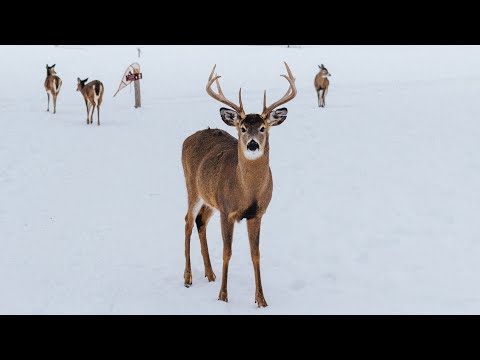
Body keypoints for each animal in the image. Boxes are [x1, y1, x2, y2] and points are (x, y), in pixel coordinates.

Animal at [181, 61, 296, 306]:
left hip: (209, 198)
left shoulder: (257, 213)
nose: (252, 144)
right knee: (187, 221)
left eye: (263, 128)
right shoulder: (227, 211)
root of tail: (189, 138)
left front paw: (261, 299)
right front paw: (223, 296)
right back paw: (188, 277)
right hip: (192, 187)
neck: (247, 192)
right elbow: (227, 252)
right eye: (242, 128)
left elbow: (256, 254)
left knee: (200, 221)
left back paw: (210, 274)